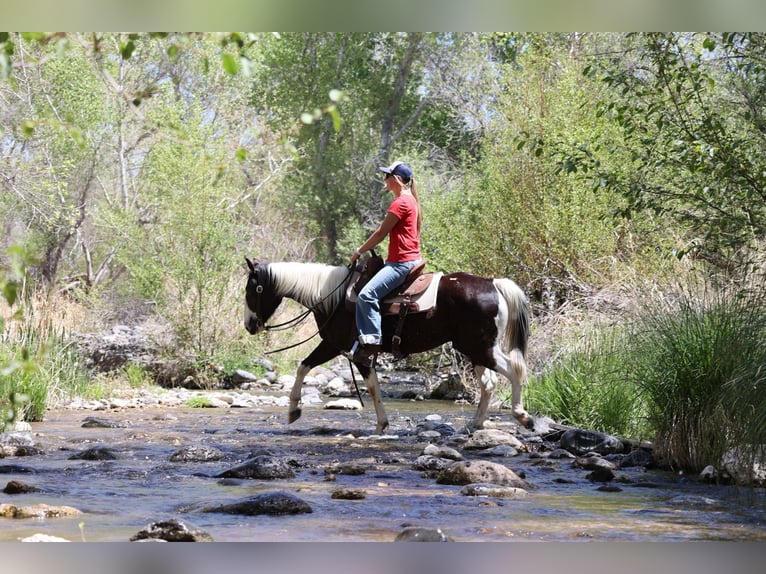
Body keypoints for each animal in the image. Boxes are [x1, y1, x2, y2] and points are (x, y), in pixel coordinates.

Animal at [244, 254, 532, 434]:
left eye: (251, 289)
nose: (249, 325)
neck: (331, 297)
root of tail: (493, 283)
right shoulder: (347, 350)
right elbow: (364, 383)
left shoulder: (340, 347)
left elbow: (309, 369)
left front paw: (294, 408)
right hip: (474, 351)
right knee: (489, 384)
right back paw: (475, 424)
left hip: (481, 348)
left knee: (514, 370)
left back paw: (521, 415)